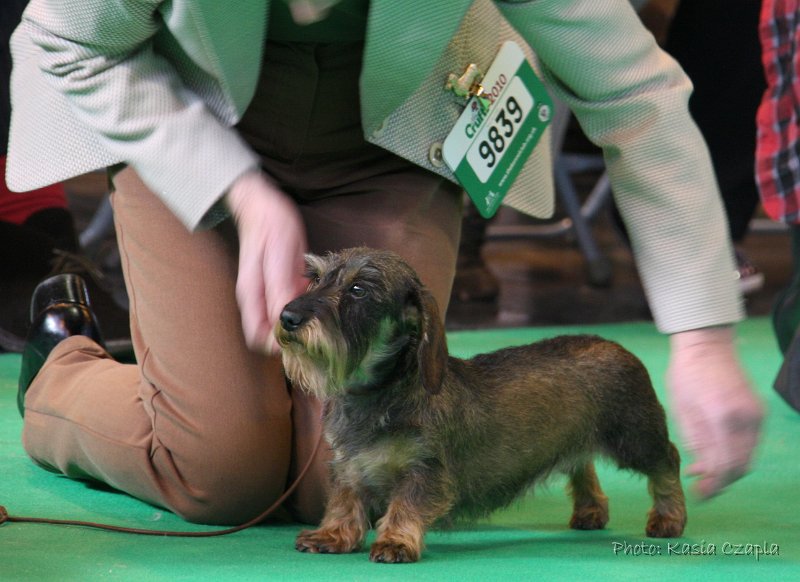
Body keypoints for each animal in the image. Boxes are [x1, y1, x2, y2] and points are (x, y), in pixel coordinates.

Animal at [276, 248, 688, 564]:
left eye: (358, 289)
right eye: (316, 279)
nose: (287, 317)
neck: (377, 394)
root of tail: (613, 343)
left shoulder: (425, 471)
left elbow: (406, 505)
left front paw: (395, 540)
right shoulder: (348, 467)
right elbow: (343, 503)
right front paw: (331, 535)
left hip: (634, 438)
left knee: (667, 461)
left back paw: (669, 518)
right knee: (582, 465)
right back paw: (590, 511)